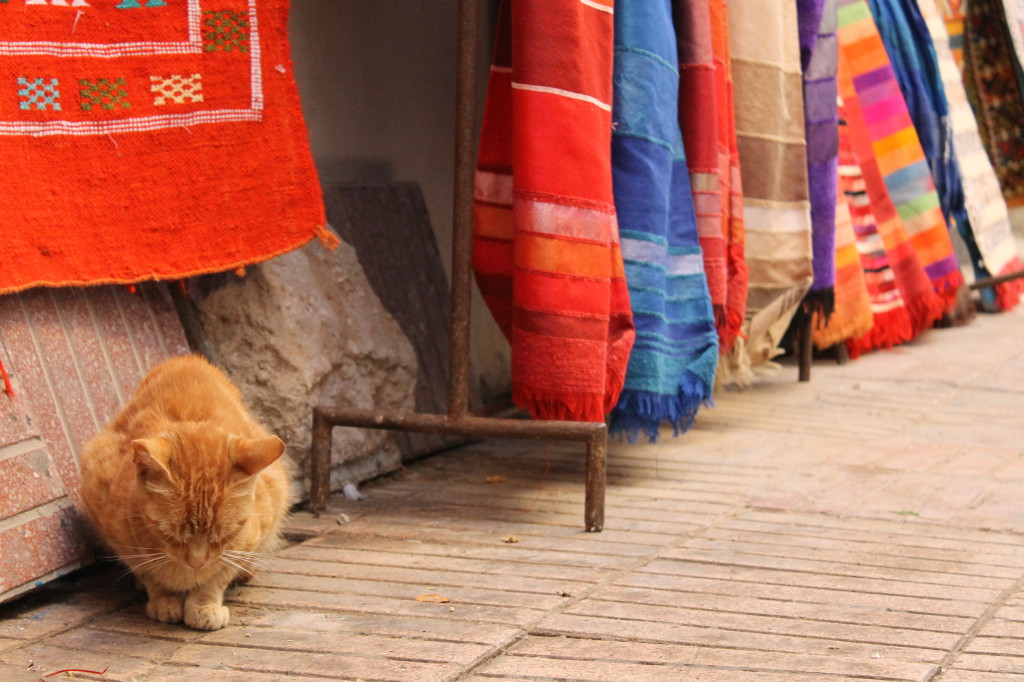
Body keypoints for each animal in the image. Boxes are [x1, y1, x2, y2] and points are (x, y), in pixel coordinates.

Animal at [78, 352, 288, 630]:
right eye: (170, 535)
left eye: (223, 536)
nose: (196, 562)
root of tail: (188, 357)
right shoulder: (117, 535)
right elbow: (149, 575)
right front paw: (164, 600)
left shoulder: (246, 540)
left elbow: (217, 577)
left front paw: (204, 605)